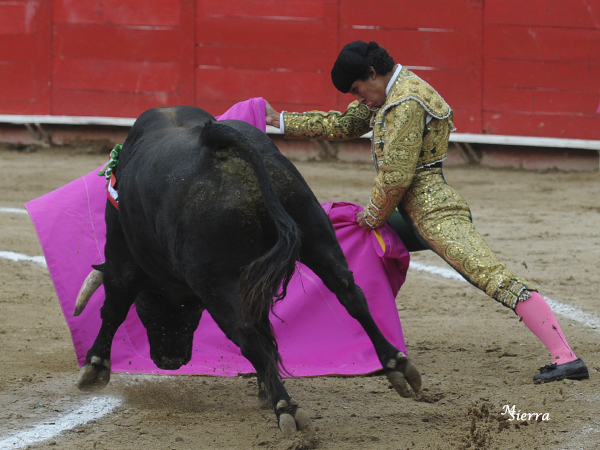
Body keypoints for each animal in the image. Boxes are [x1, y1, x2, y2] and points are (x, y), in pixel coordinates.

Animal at [75, 105, 420, 436]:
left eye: (146, 307)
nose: (170, 360)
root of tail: (221, 142)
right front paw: (263, 389)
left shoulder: (120, 255)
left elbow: (113, 307)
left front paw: (94, 367)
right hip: (315, 233)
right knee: (350, 294)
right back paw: (397, 367)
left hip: (216, 280)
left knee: (246, 333)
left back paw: (286, 408)